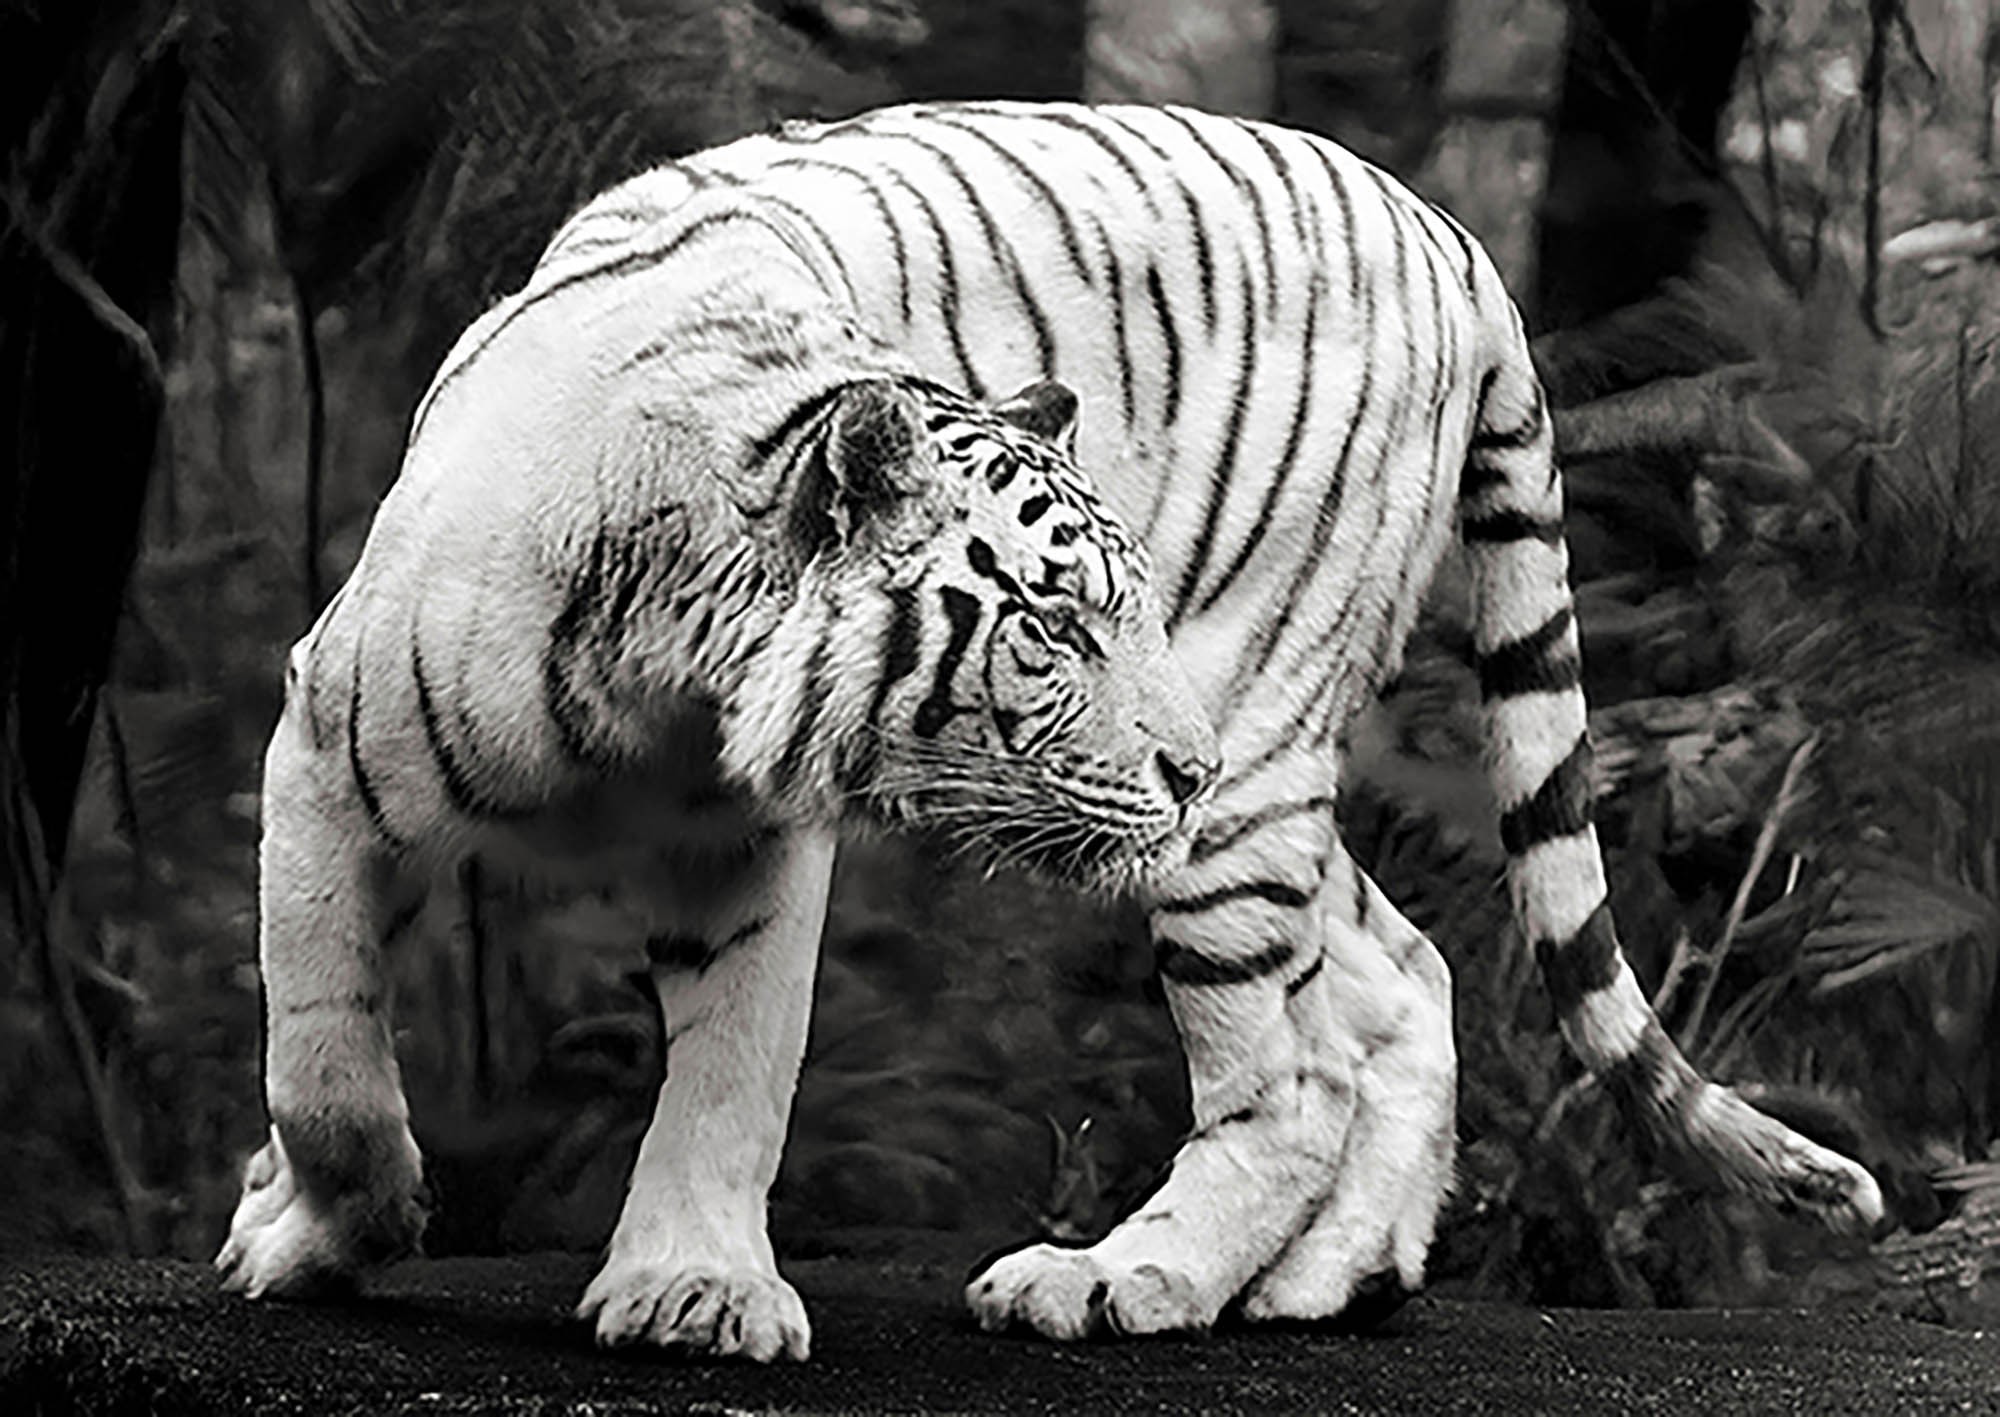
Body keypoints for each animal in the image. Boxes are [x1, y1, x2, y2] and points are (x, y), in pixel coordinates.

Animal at [217, 101, 1883, 1362]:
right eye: (1059, 624)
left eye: (1117, 613)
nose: (1181, 759)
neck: (668, 679)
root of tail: (1455, 242)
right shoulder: (325, 757)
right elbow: (324, 1065)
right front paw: (311, 1224)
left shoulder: (756, 852)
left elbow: (731, 1074)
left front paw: (692, 1290)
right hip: (1257, 800)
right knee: (1402, 976)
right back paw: (1327, 1279)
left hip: (1247, 758)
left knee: (1291, 1077)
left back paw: (1129, 1278)